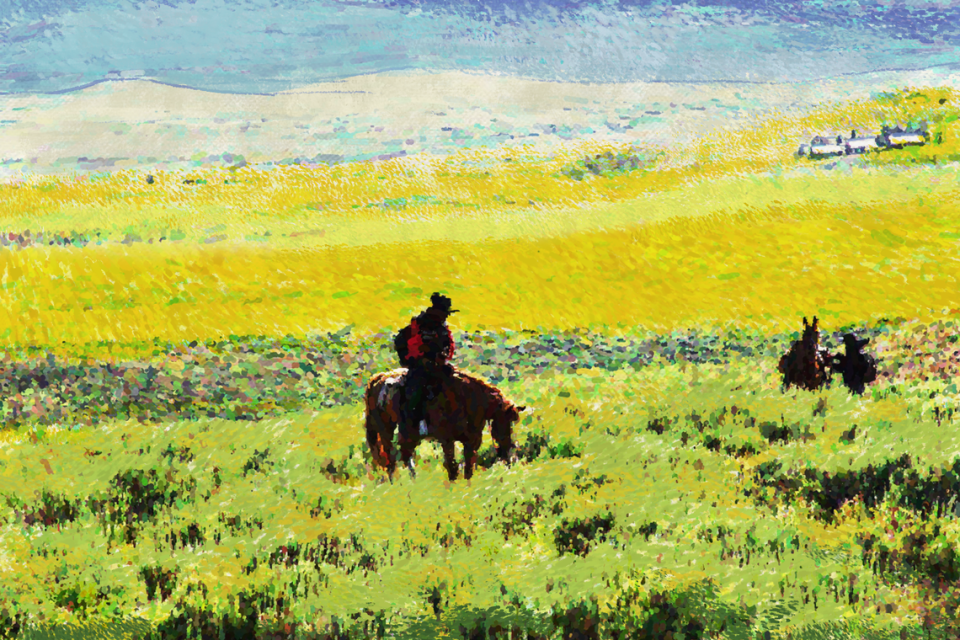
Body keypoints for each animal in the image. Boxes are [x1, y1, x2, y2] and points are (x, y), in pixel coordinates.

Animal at [364, 370, 524, 480]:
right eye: (506, 421)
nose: (508, 448)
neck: (467, 398)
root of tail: (378, 378)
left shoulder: (471, 441)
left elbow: (468, 467)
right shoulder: (447, 440)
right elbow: (452, 465)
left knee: (404, 454)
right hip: (386, 429)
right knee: (390, 458)